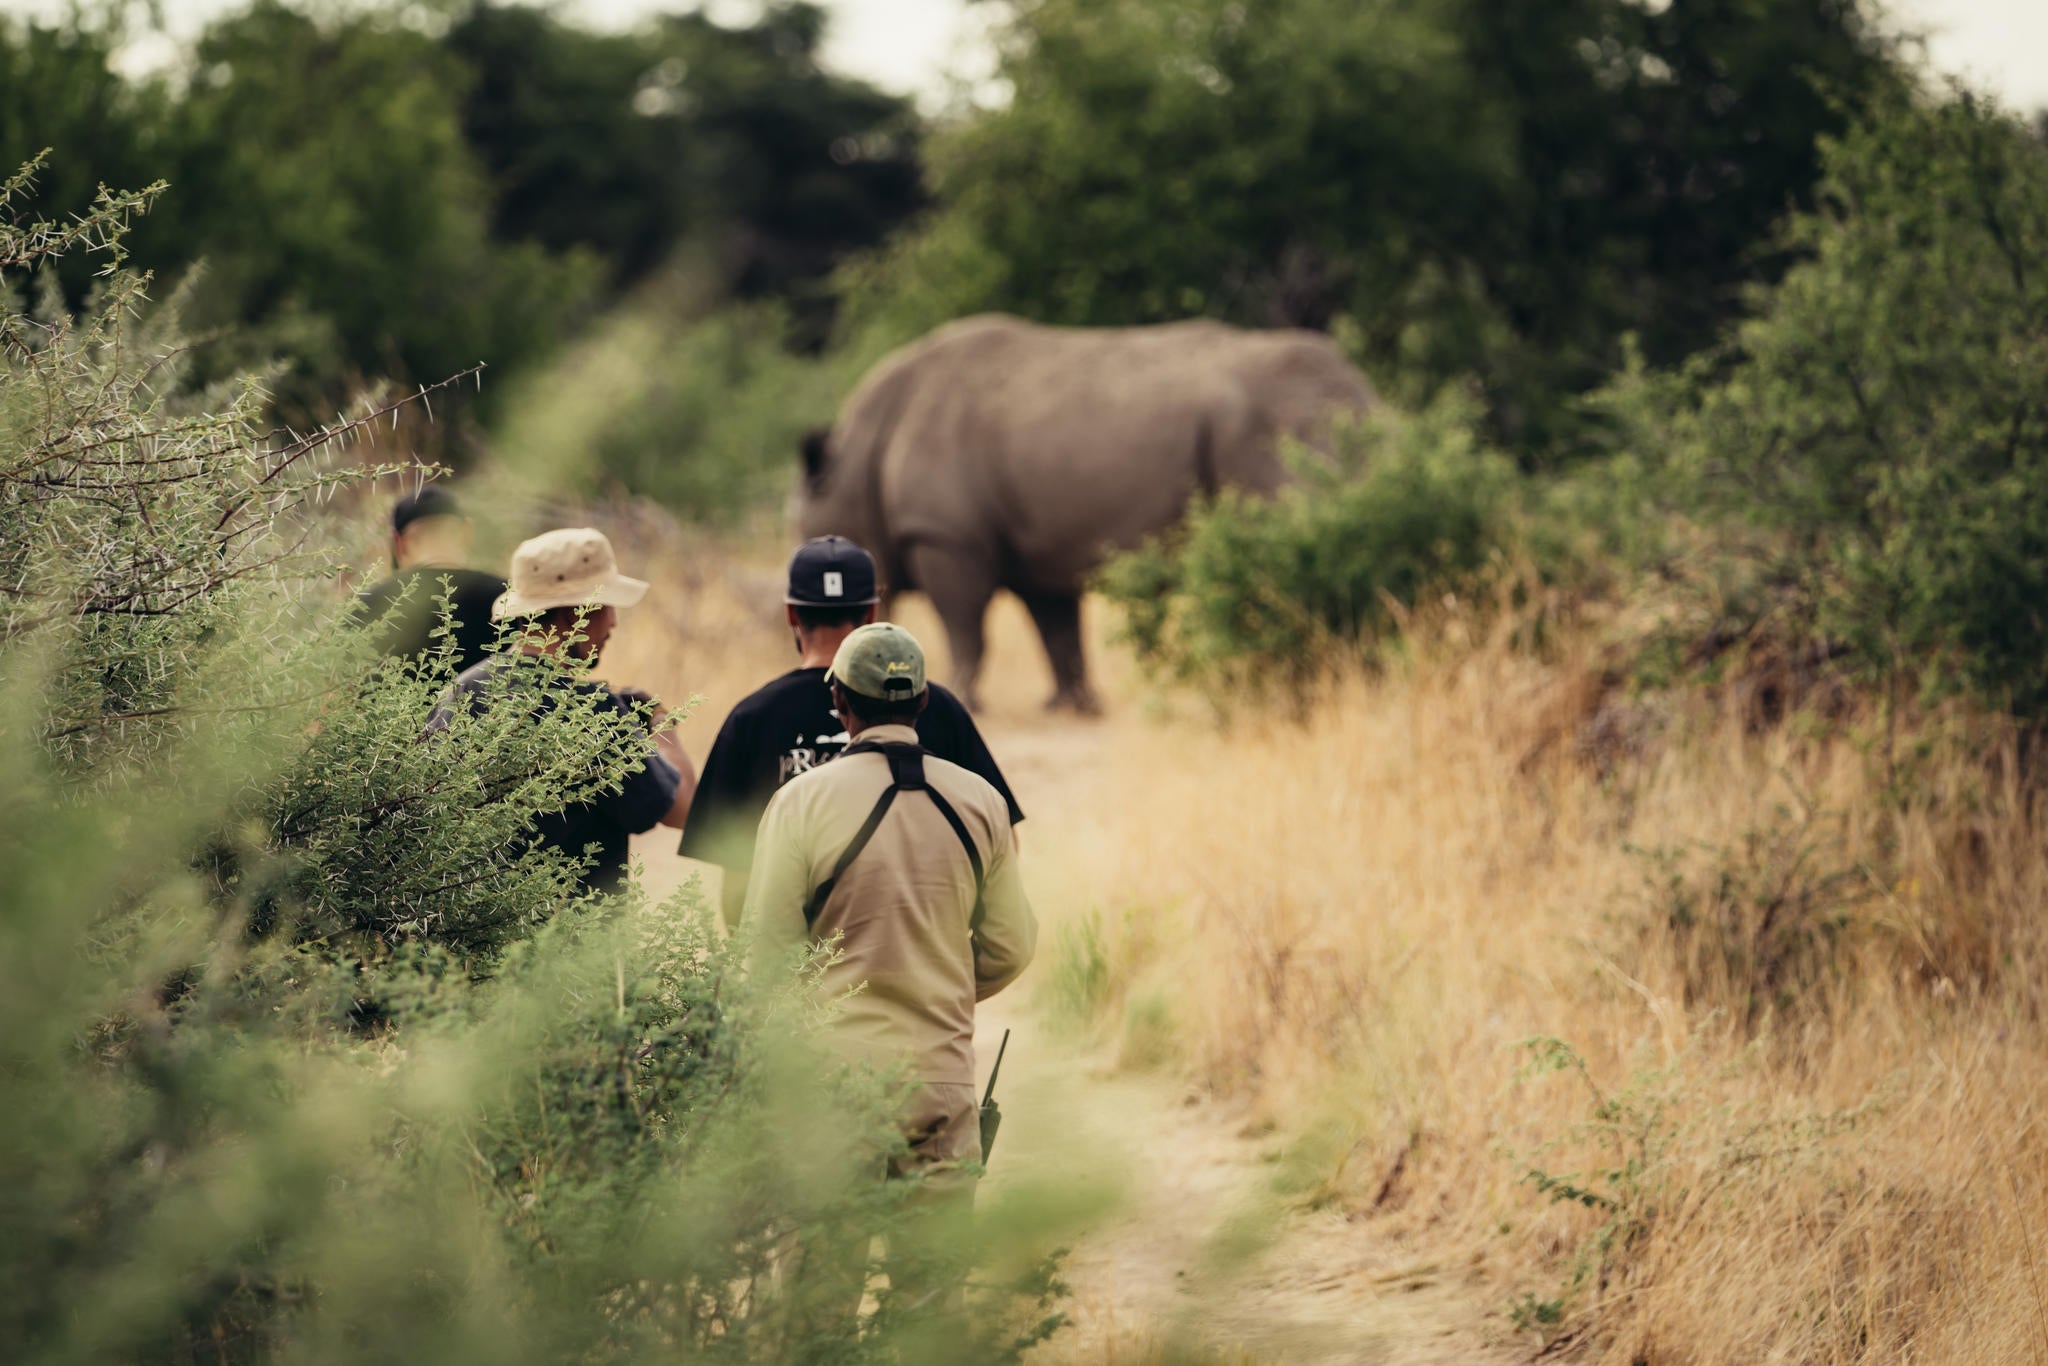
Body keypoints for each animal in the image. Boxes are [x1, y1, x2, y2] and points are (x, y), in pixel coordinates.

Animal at [797, 313, 1375, 712]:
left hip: (1283, 423)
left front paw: (961, 696)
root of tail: (1369, 398)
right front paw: (1073, 707)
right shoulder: (1036, 544)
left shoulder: (944, 535)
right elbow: (1058, 629)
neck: (855, 460)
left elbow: (964, 624)